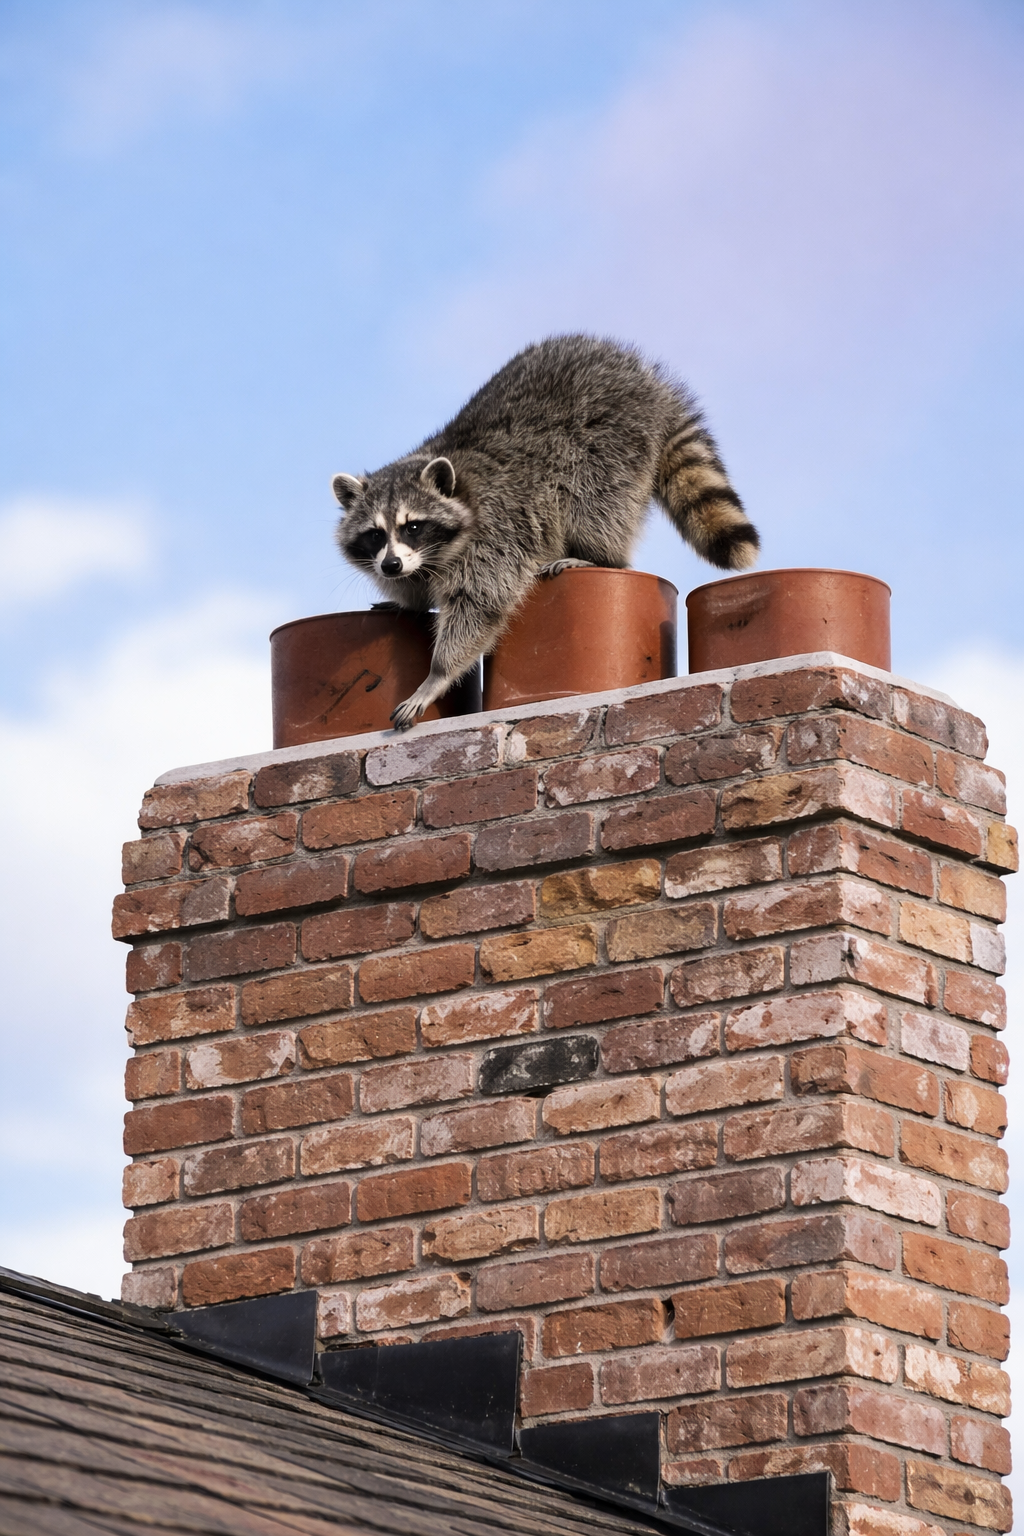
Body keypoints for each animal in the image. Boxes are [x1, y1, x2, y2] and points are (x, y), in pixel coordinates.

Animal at [334, 334, 758, 730]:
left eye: (413, 526)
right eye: (375, 534)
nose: (390, 566)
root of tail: (646, 380)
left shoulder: (494, 536)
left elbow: (478, 605)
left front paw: (436, 676)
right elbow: (419, 587)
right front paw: (409, 600)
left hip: (610, 442)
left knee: (594, 503)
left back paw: (597, 555)